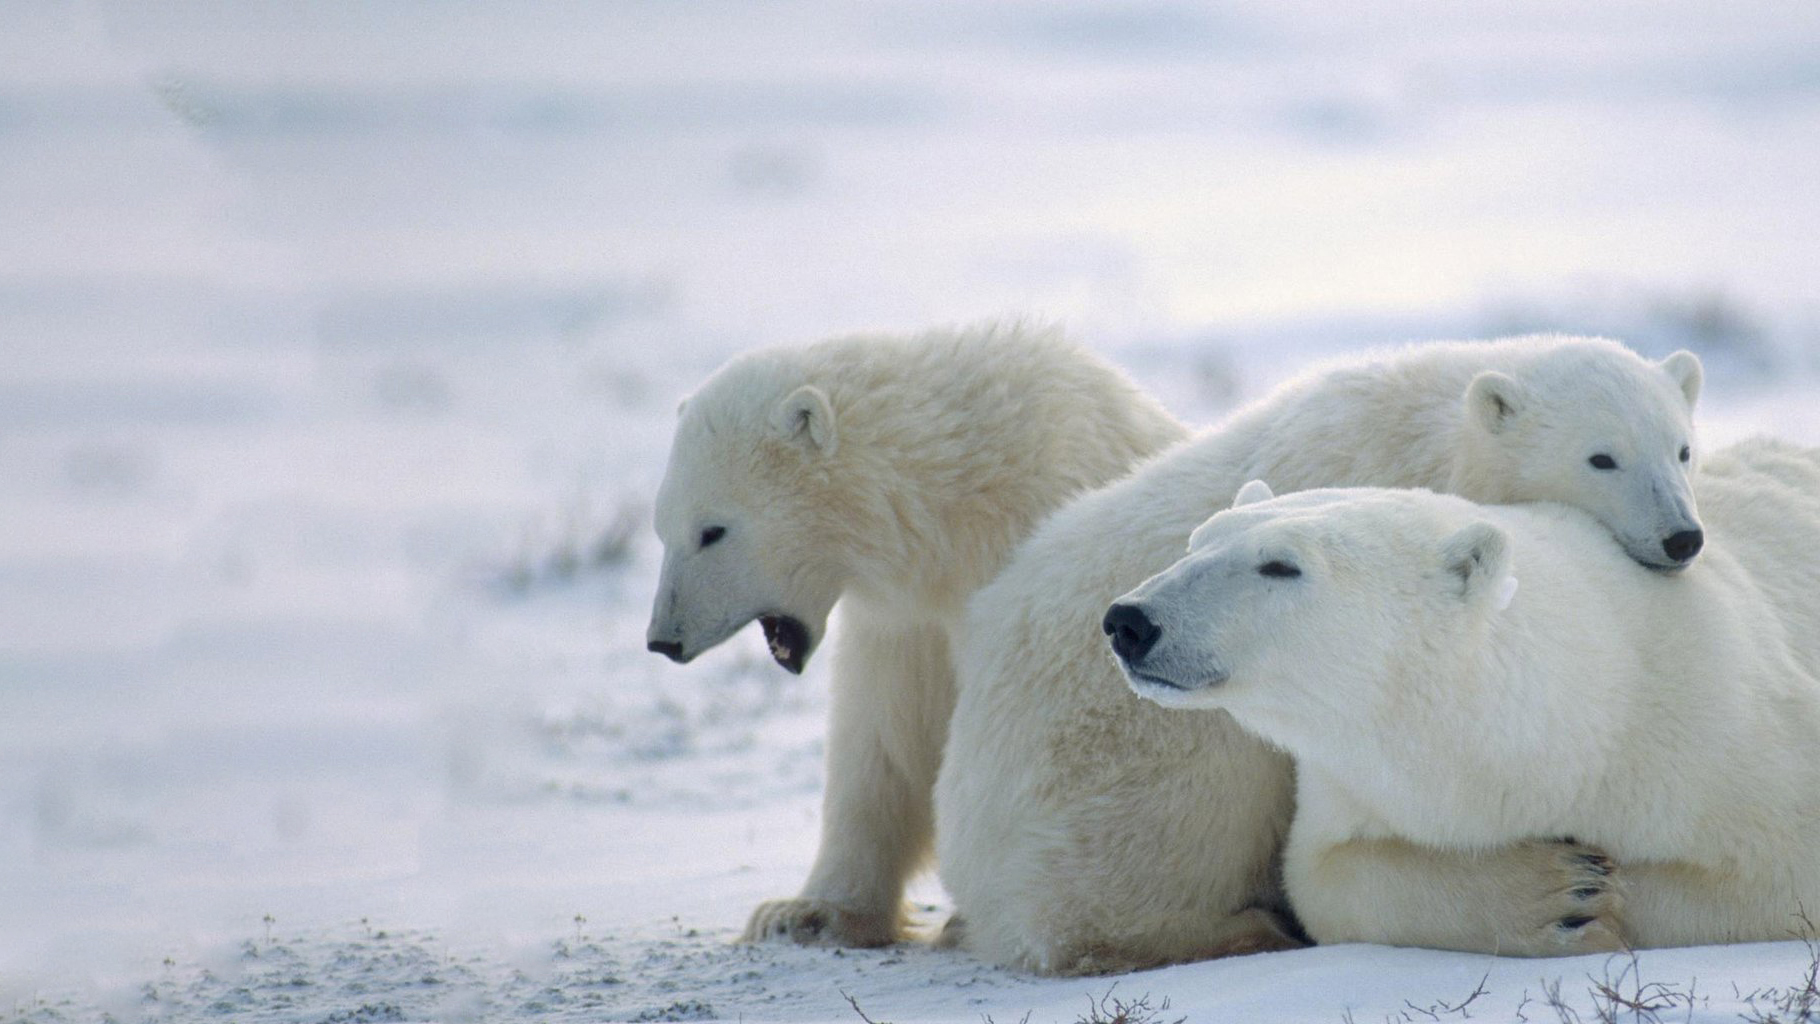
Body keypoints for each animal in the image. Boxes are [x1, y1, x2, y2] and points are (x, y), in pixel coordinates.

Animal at [647, 323, 1186, 953]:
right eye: (661, 529)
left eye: (713, 531)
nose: (663, 639)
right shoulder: (904, 623)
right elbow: (881, 740)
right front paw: (803, 912)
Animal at [939, 332, 1703, 974]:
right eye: (1602, 456)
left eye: (1682, 448)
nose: (1682, 537)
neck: (1434, 433)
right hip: (1113, 765)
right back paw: (1239, 929)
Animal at [1106, 438, 1820, 953]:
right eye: (1198, 541)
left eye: (1282, 565)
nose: (1130, 621)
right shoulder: (1356, 785)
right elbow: (1327, 876)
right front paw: (1559, 898)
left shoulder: (1718, 744)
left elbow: (1777, 872)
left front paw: (1599, 892)